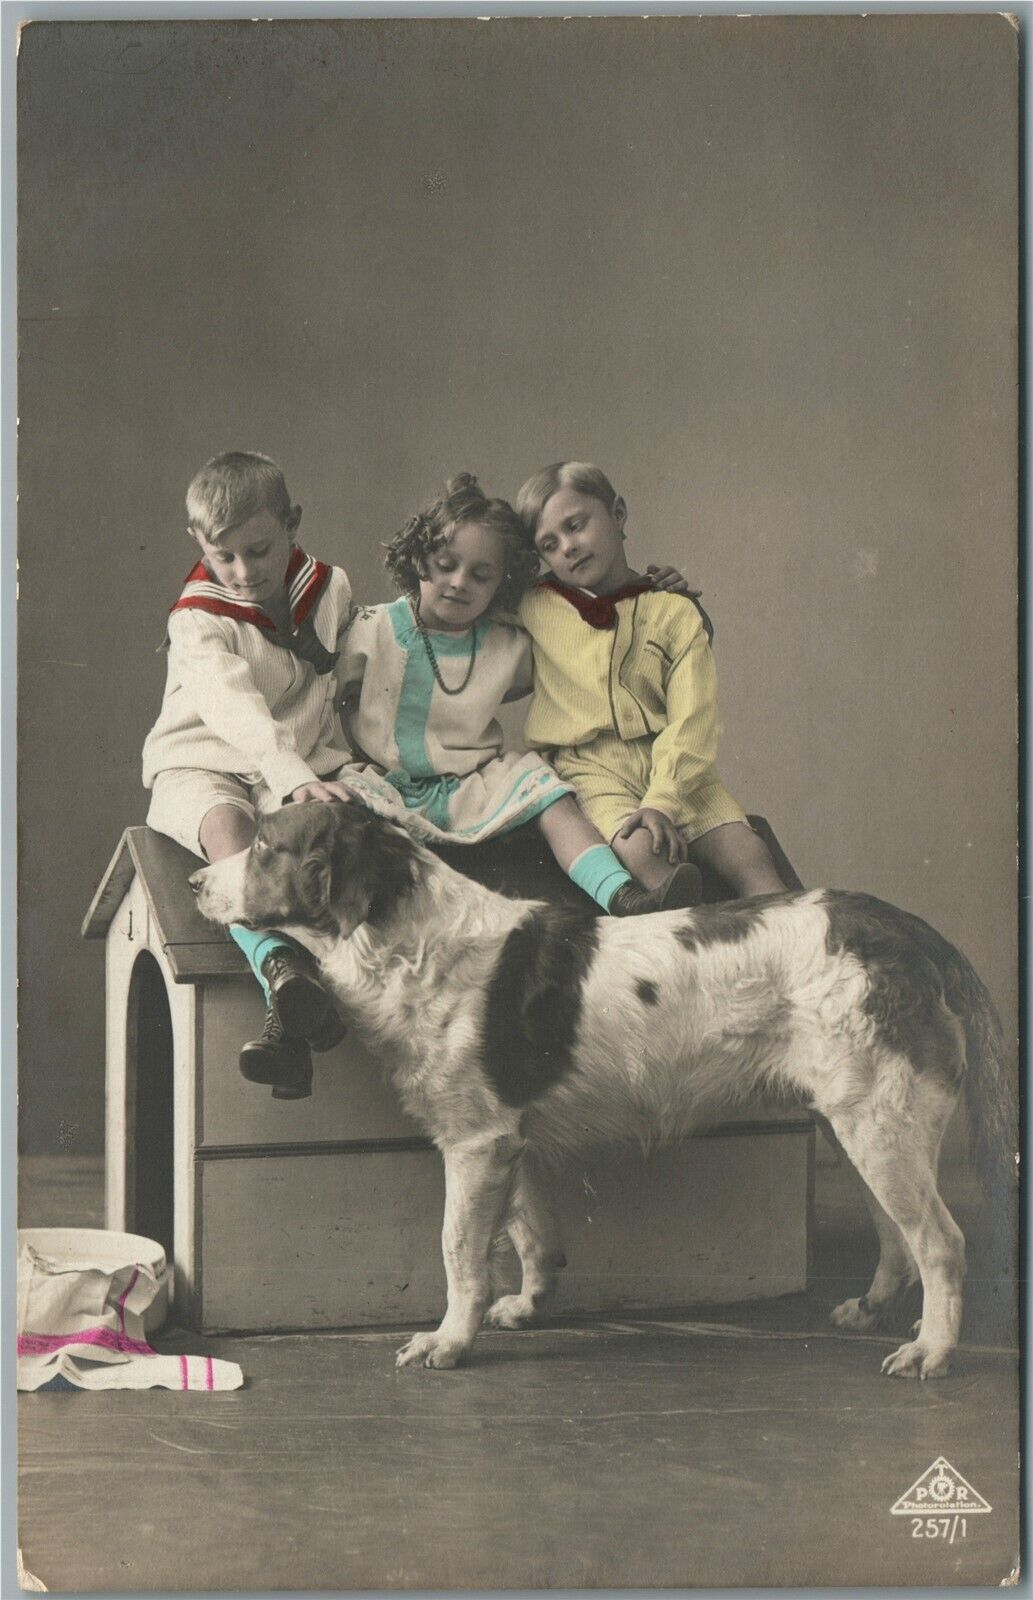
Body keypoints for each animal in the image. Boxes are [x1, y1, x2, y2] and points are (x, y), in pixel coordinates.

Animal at [190, 800, 1017, 1376]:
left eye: (265, 845)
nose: (197, 878)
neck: (408, 937)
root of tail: (912, 932)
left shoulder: (474, 1141)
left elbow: (460, 1248)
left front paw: (448, 1340)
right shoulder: (508, 1139)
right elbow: (529, 1234)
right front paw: (525, 1305)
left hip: (878, 1121)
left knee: (939, 1241)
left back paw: (931, 1351)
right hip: (858, 1122)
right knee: (896, 1236)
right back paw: (874, 1311)